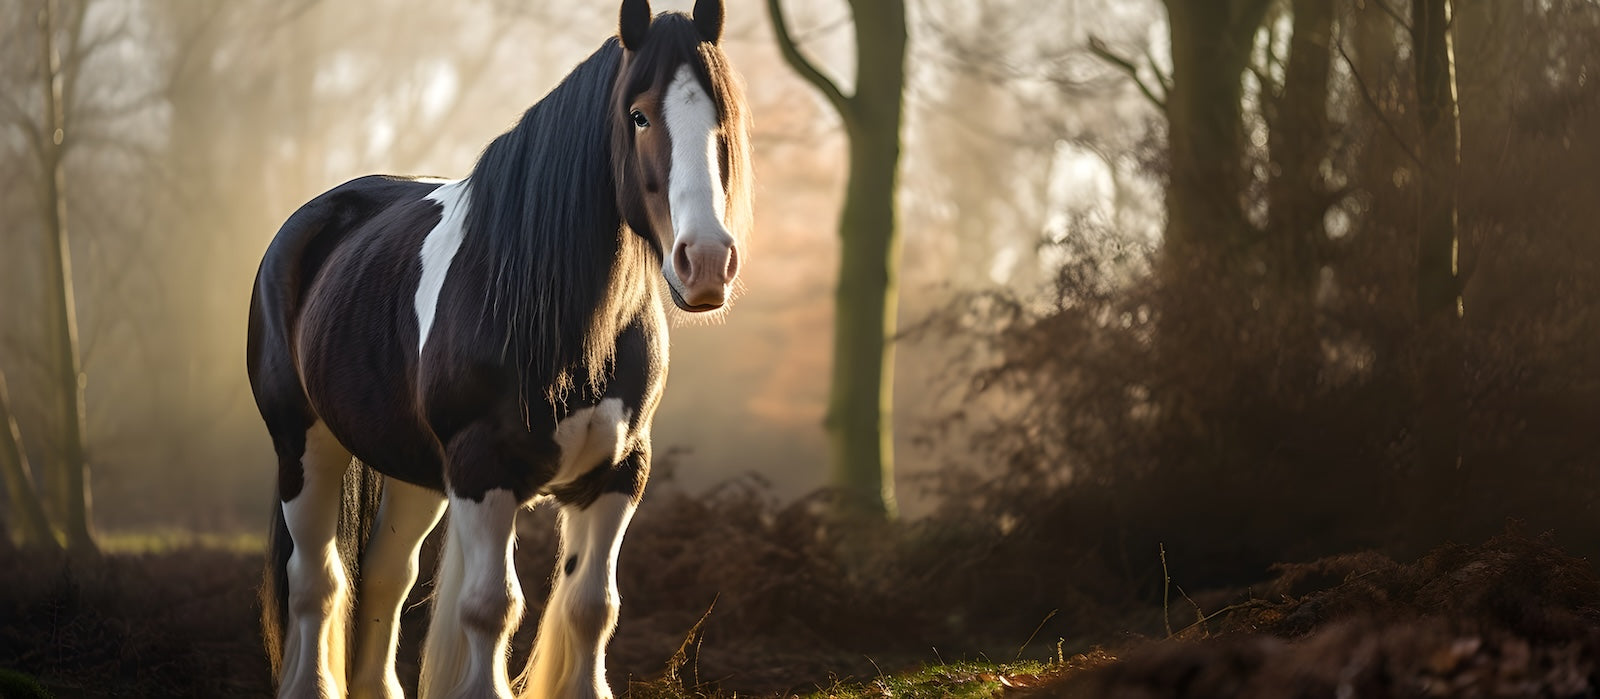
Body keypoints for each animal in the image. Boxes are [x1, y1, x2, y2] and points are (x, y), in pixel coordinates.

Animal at [245, 1, 752, 696]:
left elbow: (593, 607)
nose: (705, 262)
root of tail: (310, 221)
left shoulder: (618, 472)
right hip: (305, 445)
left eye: (724, 117)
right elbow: (491, 606)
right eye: (639, 114)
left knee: (385, 577)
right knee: (314, 582)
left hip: (416, 475)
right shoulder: (484, 469)